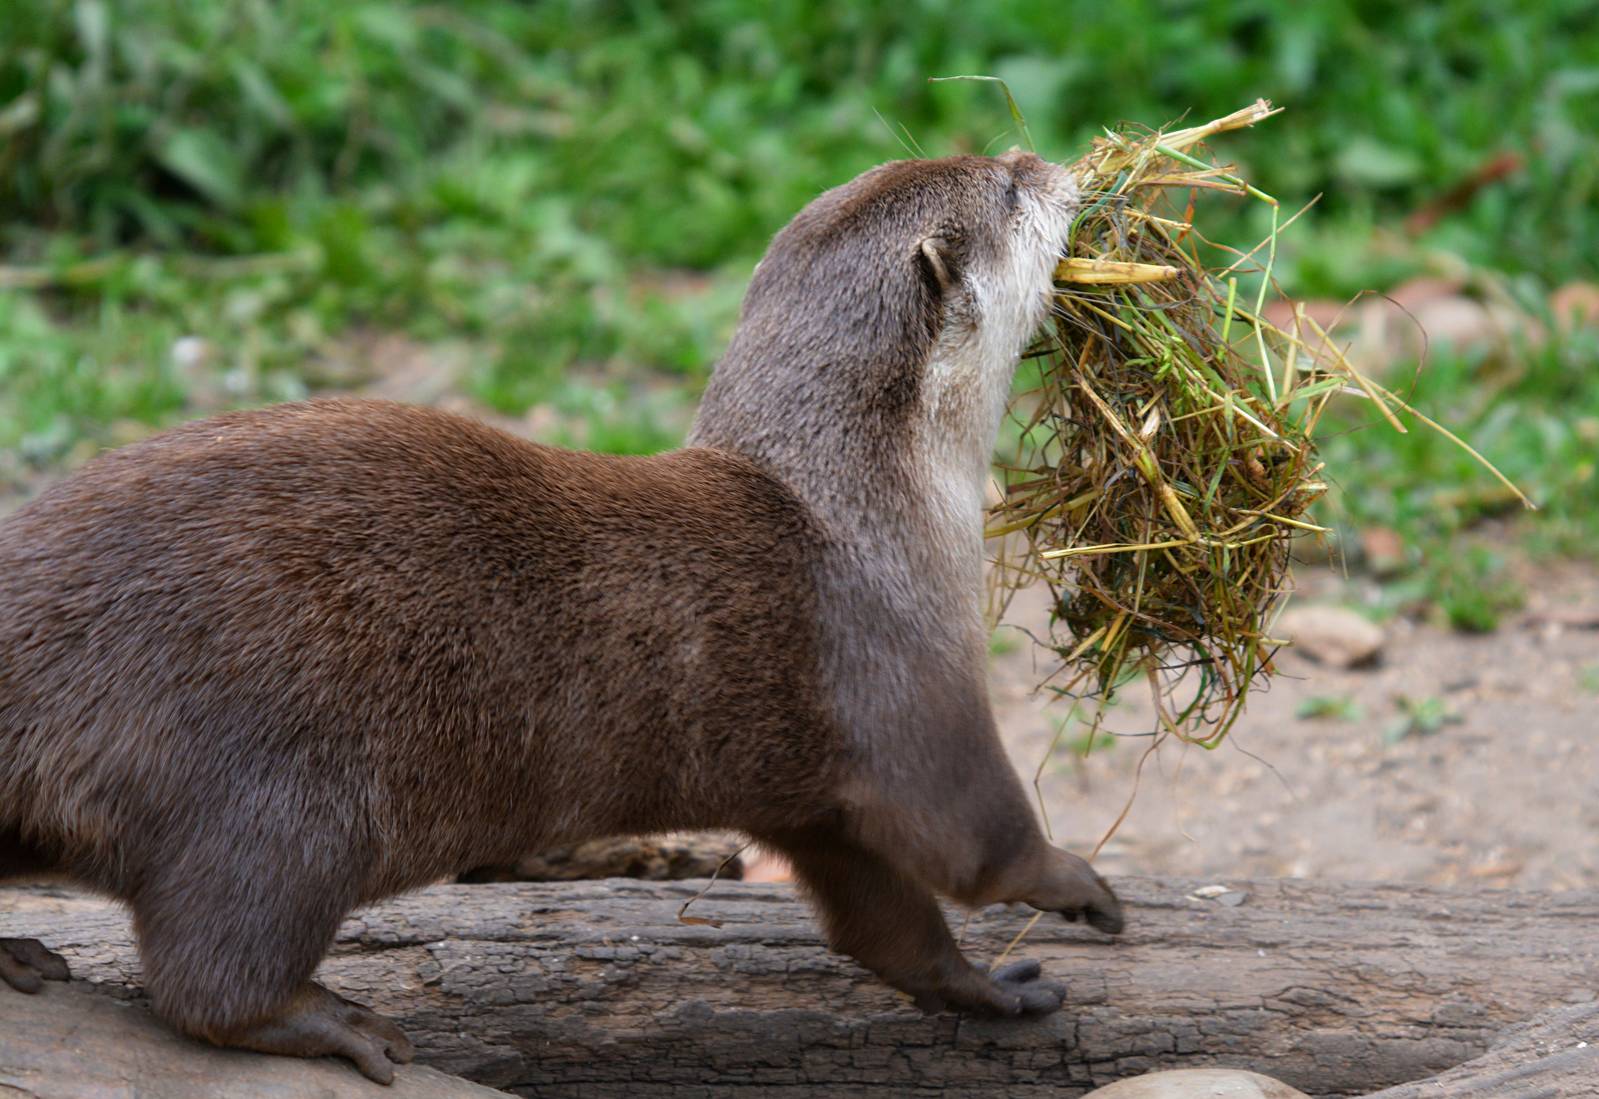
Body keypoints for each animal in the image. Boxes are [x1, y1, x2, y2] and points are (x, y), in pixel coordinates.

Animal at [0, 150, 1122, 1083]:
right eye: (1009, 188)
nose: (1053, 159)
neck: (860, 506)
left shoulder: (807, 801)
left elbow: (881, 919)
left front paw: (985, 988)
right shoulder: (899, 672)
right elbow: (971, 837)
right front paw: (1074, 883)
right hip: (276, 799)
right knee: (206, 979)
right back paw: (335, 1021)